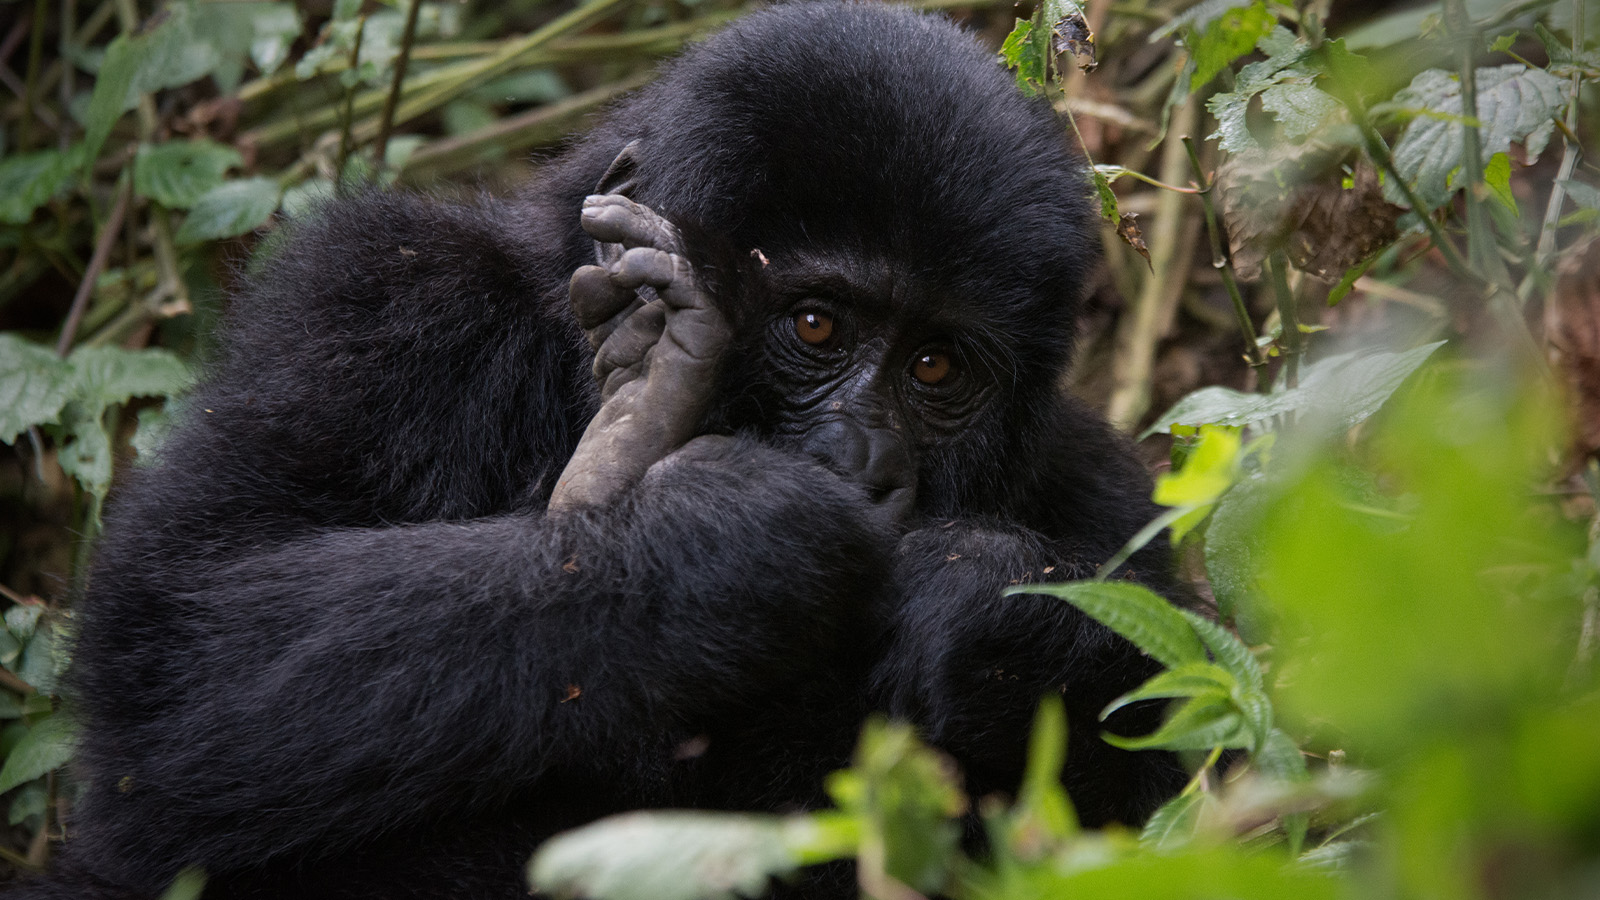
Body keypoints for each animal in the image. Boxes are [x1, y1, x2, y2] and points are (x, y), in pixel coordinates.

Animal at [15, 3, 1190, 890]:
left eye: (937, 368)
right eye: (816, 327)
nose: (868, 465)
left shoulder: (1097, 487)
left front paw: (989, 609)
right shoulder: (377, 297)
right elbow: (170, 659)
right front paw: (717, 548)